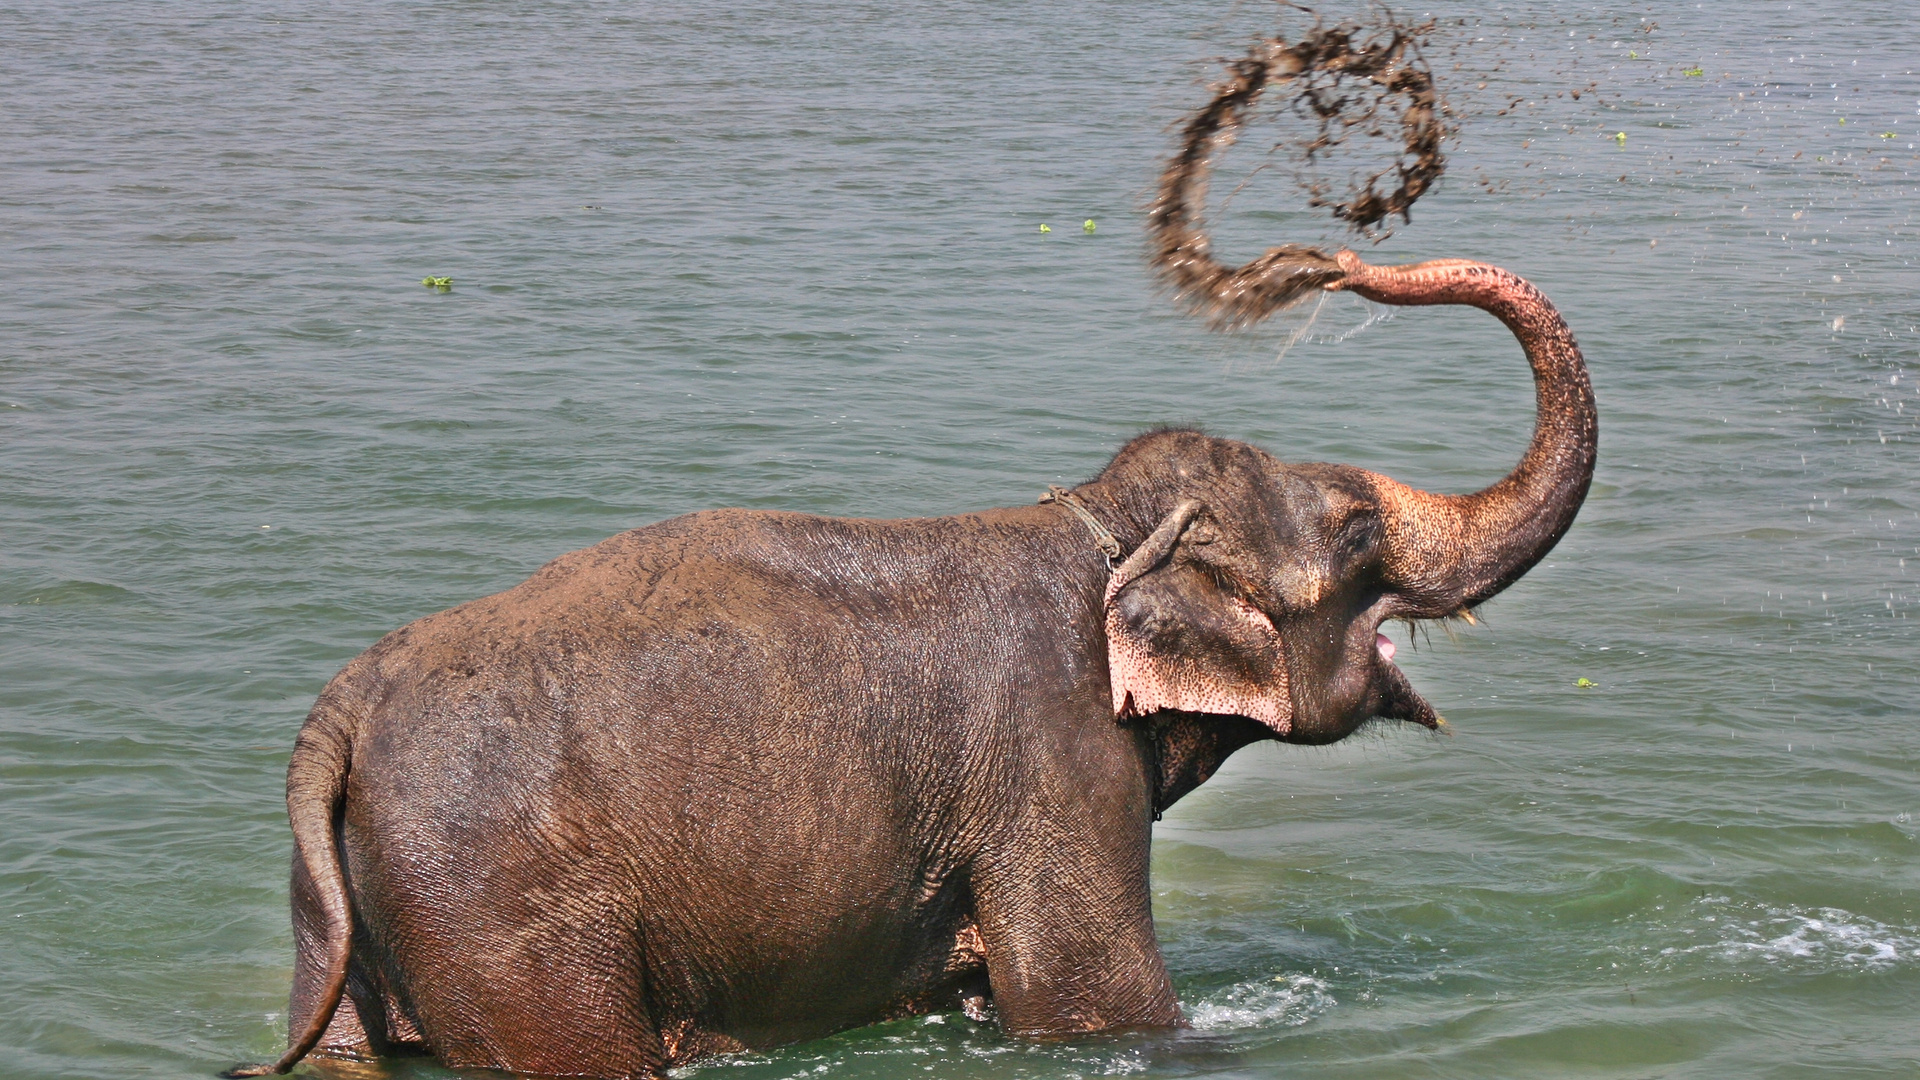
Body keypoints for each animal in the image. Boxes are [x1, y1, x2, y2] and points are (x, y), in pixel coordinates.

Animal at [224, 247, 1597, 1076]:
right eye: (1358, 530)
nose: (1339, 259)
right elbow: (1096, 1004)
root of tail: (337, 715)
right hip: (505, 909)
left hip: (350, 906)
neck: (1098, 529)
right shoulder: (1057, 768)